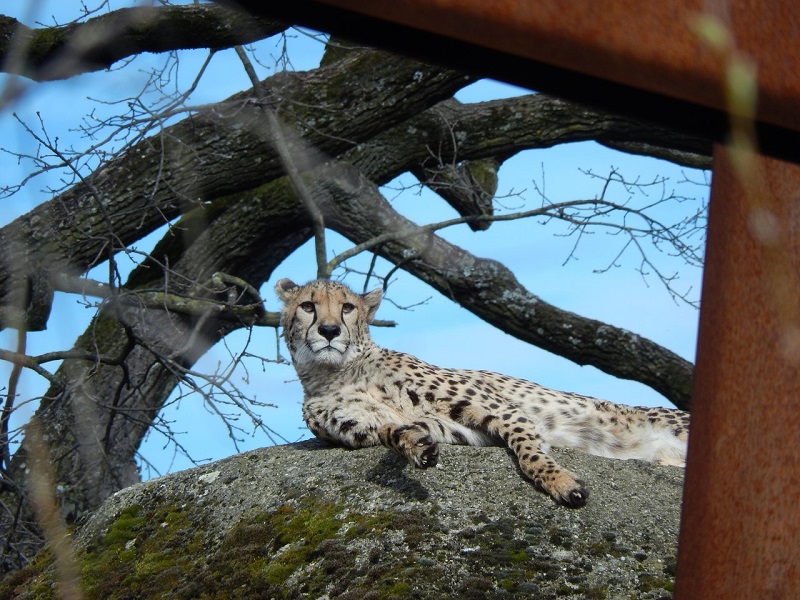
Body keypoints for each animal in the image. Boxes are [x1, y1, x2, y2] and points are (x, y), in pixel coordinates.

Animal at [276, 278, 688, 506]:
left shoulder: (501, 410)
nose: (330, 331)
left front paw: (559, 481)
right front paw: (417, 448)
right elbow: (395, 432)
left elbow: (529, 452)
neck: (338, 372)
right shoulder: (387, 428)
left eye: (347, 308)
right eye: (308, 306)